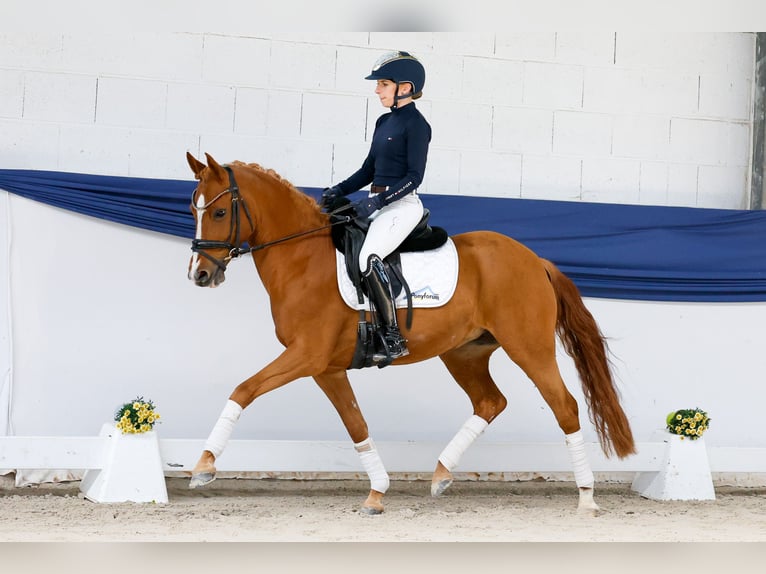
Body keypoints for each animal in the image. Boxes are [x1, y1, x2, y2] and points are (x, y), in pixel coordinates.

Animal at [185, 151, 636, 515]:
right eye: (193, 211)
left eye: (219, 213)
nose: (200, 275)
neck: (303, 259)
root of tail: (535, 259)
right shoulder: (326, 367)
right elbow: (356, 425)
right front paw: (377, 493)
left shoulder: (307, 355)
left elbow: (244, 389)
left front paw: (204, 465)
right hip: (464, 353)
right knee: (491, 402)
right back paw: (441, 474)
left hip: (529, 347)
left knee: (565, 406)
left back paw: (586, 496)